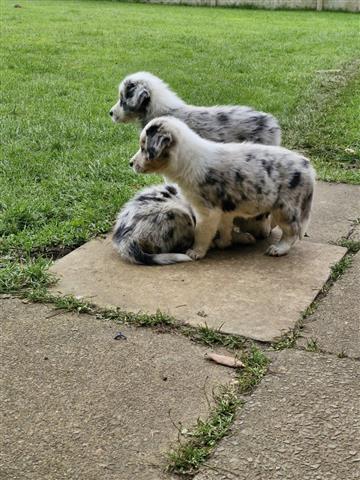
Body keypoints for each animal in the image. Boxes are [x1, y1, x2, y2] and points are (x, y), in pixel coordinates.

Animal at [129, 116, 316, 260]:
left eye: (143, 147)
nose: (130, 163)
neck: (186, 160)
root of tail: (308, 167)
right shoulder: (224, 209)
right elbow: (225, 229)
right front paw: (223, 242)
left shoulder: (206, 211)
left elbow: (201, 233)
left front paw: (196, 252)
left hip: (286, 207)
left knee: (292, 232)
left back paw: (278, 249)